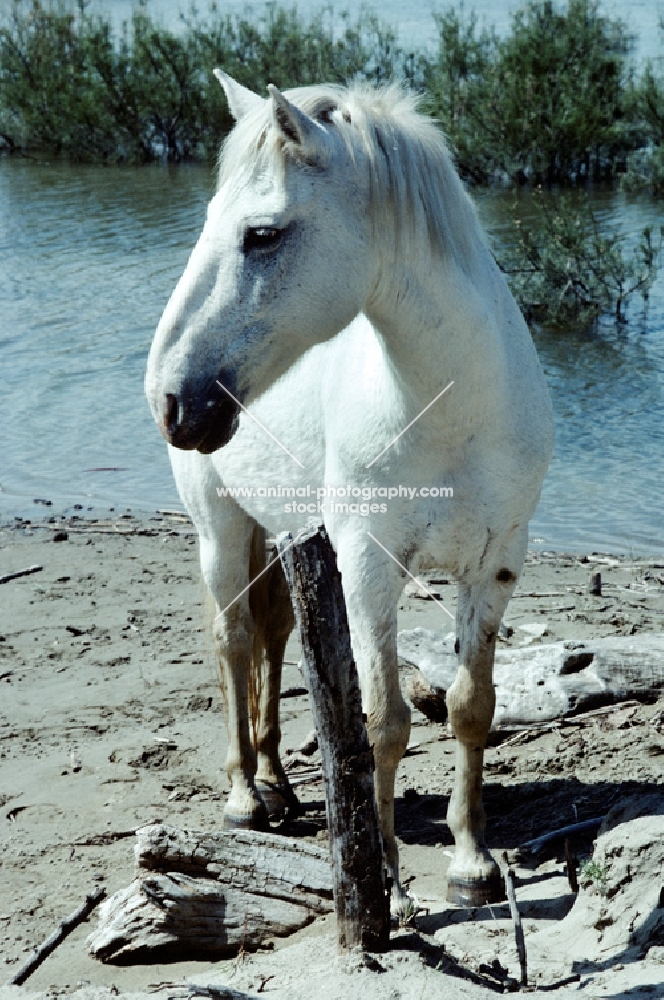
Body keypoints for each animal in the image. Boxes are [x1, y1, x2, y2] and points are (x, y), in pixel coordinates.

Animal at [145, 74, 556, 912]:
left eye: (263, 234)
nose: (171, 398)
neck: (449, 407)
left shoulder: (496, 564)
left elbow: (471, 709)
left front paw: (471, 864)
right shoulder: (368, 568)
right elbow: (383, 722)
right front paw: (390, 885)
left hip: (283, 535)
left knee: (274, 639)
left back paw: (278, 785)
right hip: (221, 530)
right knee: (236, 641)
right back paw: (246, 797)